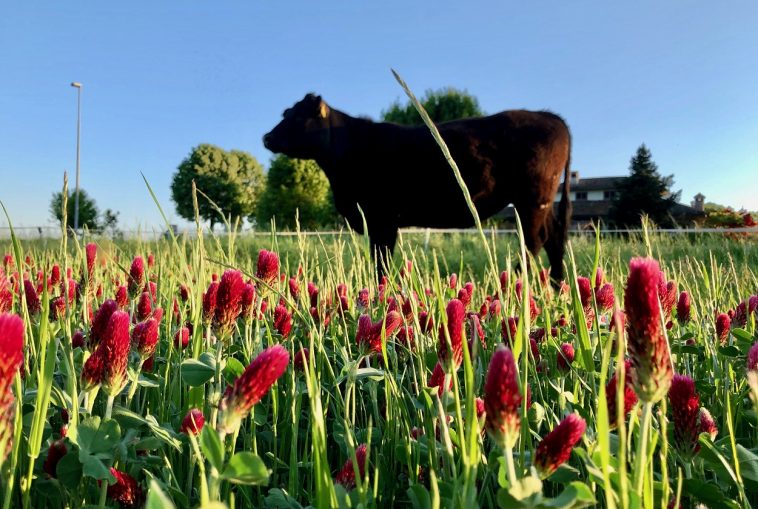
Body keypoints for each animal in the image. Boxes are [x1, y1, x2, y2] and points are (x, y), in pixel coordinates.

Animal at [264, 92, 572, 282]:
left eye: (297, 117)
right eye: (285, 112)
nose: (266, 137)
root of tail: (550, 116)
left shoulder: (382, 218)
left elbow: (381, 264)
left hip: (532, 199)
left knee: (534, 241)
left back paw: (515, 283)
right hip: (540, 202)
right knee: (554, 238)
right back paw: (557, 286)